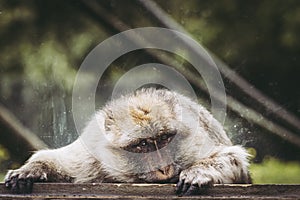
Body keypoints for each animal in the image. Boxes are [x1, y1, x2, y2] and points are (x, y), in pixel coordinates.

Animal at [4, 87, 251, 194]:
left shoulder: (194, 142)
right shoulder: (93, 154)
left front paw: (198, 173)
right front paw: (31, 170)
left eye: (164, 139)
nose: (164, 168)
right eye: (142, 145)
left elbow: (235, 159)